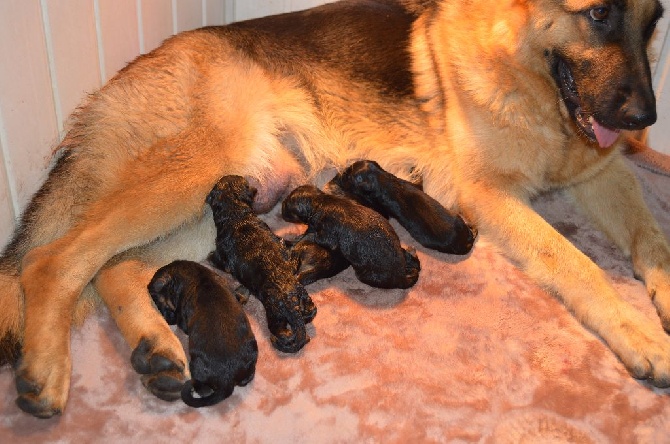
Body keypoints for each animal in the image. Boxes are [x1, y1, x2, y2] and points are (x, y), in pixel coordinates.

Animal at [150, 260, 260, 410]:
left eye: (158, 302)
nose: (168, 320)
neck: (198, 275)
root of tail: (227, 380)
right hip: (252, 352)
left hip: (195, 364)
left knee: (203, 389)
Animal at [207, 175, 318, 352]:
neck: (236, 214)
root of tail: (292, 302)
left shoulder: (222, 256)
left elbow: (215, 258)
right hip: (305, 298)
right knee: (310, 312)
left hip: (274, 315)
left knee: (282, 332)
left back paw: (276, 338)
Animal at [282, 183, 420, 288]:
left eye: (287, 206)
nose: (281, 211)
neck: (321, 200)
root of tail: (401, 277)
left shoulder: (327, 233)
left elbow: (315, 236)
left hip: (366, 274)